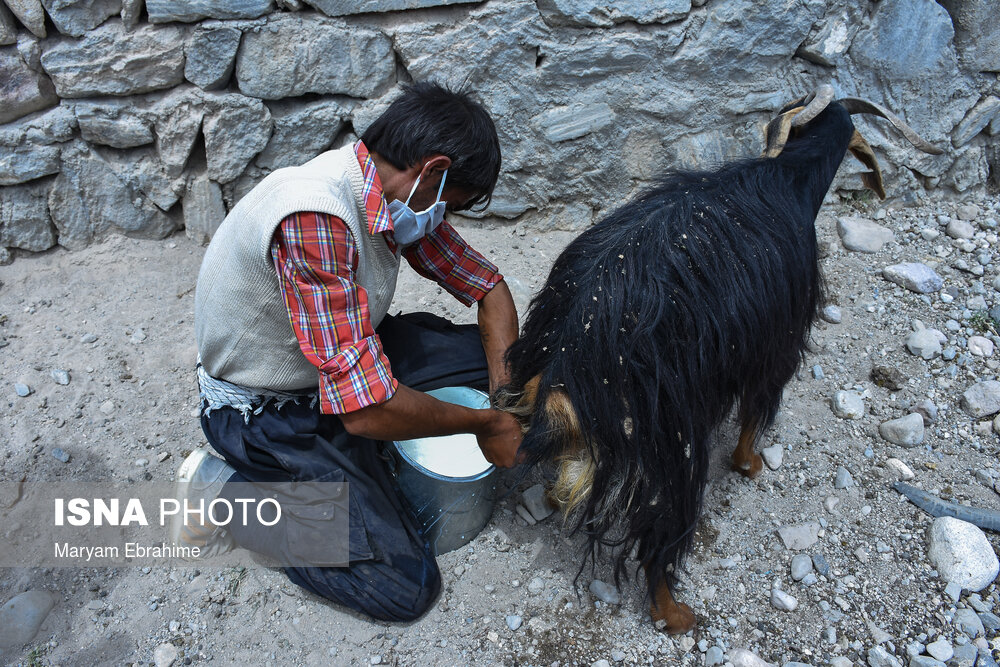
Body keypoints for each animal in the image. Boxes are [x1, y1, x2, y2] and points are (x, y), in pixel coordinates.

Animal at [496, 87, 940, 632]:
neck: (787, 178)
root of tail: (570, 354)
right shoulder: (776, 345)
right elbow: (757, 410)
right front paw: (749, 465)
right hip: (673, 445)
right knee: (661, 538)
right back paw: (677, 615)